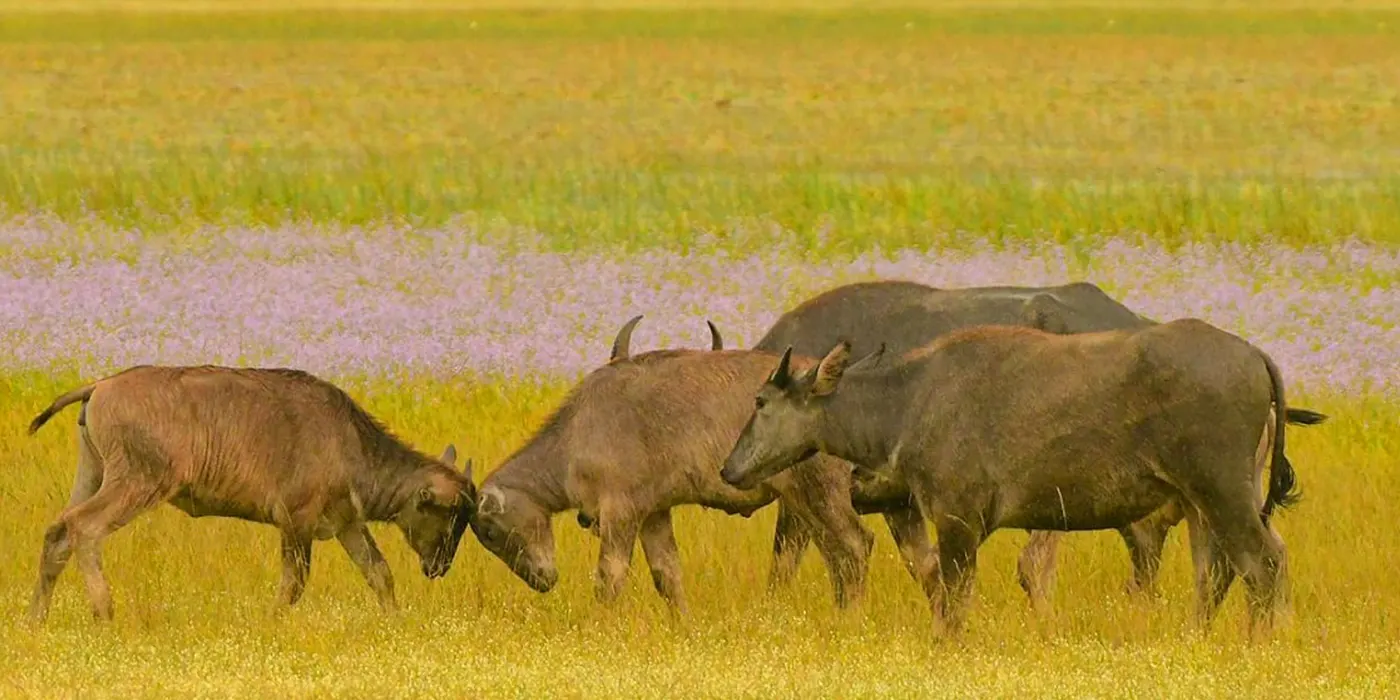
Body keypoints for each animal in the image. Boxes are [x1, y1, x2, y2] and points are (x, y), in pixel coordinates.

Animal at [24, 364, 476, 621]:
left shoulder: (347, 525)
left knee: (57, 533)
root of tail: (99, 386)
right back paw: (104, 612)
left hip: (94, 474)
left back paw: (36, 620)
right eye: (449, 514)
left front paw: (395, 622)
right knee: (83, 528)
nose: (440, 566)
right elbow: (294, 584)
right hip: (135, 485)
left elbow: (379, 573)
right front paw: (270, 621)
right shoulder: (295, 523)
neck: (347, 439)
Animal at [470, 320, 884, 610]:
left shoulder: (621, 514)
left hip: (822, 495)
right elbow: (667, 577)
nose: (541, 580)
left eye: (489, 530)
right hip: (801, 503)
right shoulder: (654, 515)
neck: (577, 429)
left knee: (853, 546)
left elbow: (609, 579)